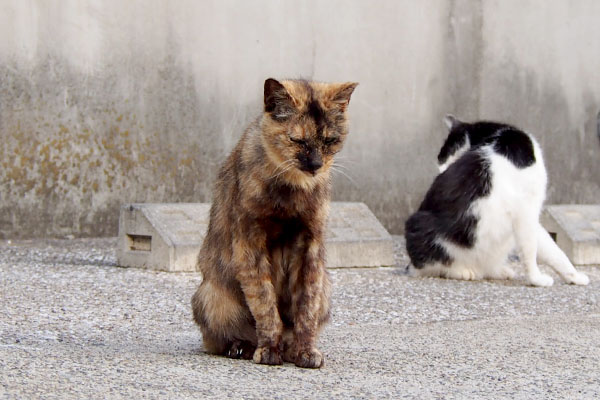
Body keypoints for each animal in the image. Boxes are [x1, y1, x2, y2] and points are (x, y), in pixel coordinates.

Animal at [192, 76, 356, 368]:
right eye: (297, 140)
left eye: (329, 140)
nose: (316, 164)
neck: (290, 191)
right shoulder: (250, 244)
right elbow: (265, 304)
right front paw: (268, 350)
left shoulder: (310, 247)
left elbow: (306, 309)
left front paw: (305, 352)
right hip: (212, 296)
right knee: (220, 338)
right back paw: (243, 347)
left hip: (326, 289)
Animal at [406, 115, 588, 288]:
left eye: (446, 160)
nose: (441, 174)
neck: (494, 135)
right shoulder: (526, 210)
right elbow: (531, 249)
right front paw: (537, 279)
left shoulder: (529, 212)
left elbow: (553, 249)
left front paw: (574, 276)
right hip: (420, 224)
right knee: (434, 265)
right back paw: (462, 271)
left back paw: (498, 271)